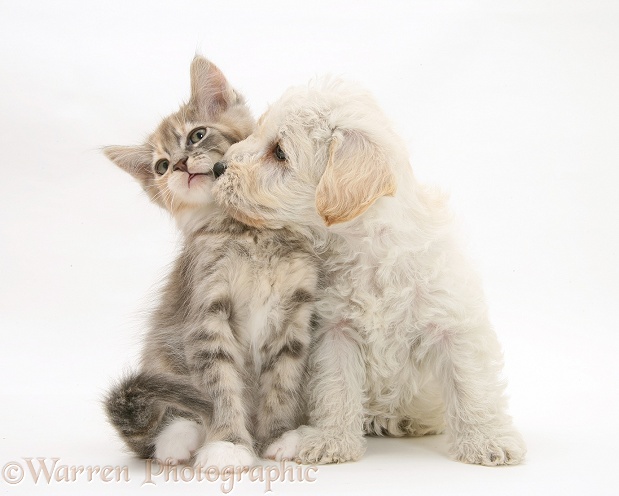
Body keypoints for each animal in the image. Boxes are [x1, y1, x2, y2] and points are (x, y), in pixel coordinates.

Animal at [101, 58, 320, 468]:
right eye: (160, 166)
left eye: (197, 135)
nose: (180, 165)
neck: (247, 232)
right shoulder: (206, 313)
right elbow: (220, 388)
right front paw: (229, 445)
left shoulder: (294, 315)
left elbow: (283, 382)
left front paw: (280, 435)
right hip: (163, 358)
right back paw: (178, 441)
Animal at [213, 77, 528, 464]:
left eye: (280, 153)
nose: (217, 168)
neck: (369, 250)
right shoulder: (335, 330)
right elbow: (336, 387)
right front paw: (331, 440)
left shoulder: (453, 323)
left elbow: (471, 384)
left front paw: (486, 440)